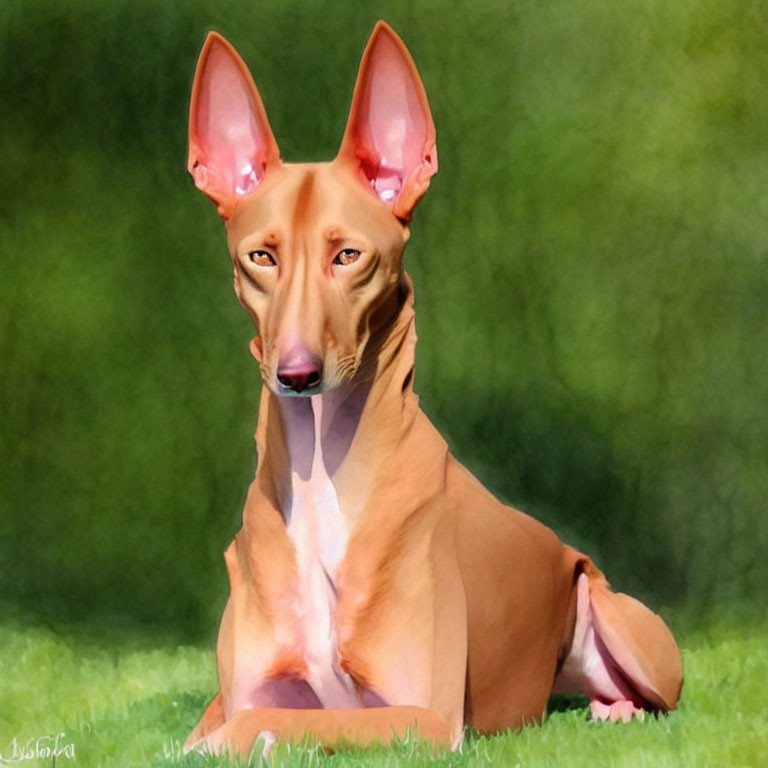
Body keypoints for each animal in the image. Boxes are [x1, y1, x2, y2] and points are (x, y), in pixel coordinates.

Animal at [183, 21, 680, 760]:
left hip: (620, 619)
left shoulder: (425, 719)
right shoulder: (246, 689)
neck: (321, 476)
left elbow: (261, 725)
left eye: (349, 256)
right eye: (261, 257)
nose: (297, 376)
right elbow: (232, 714)